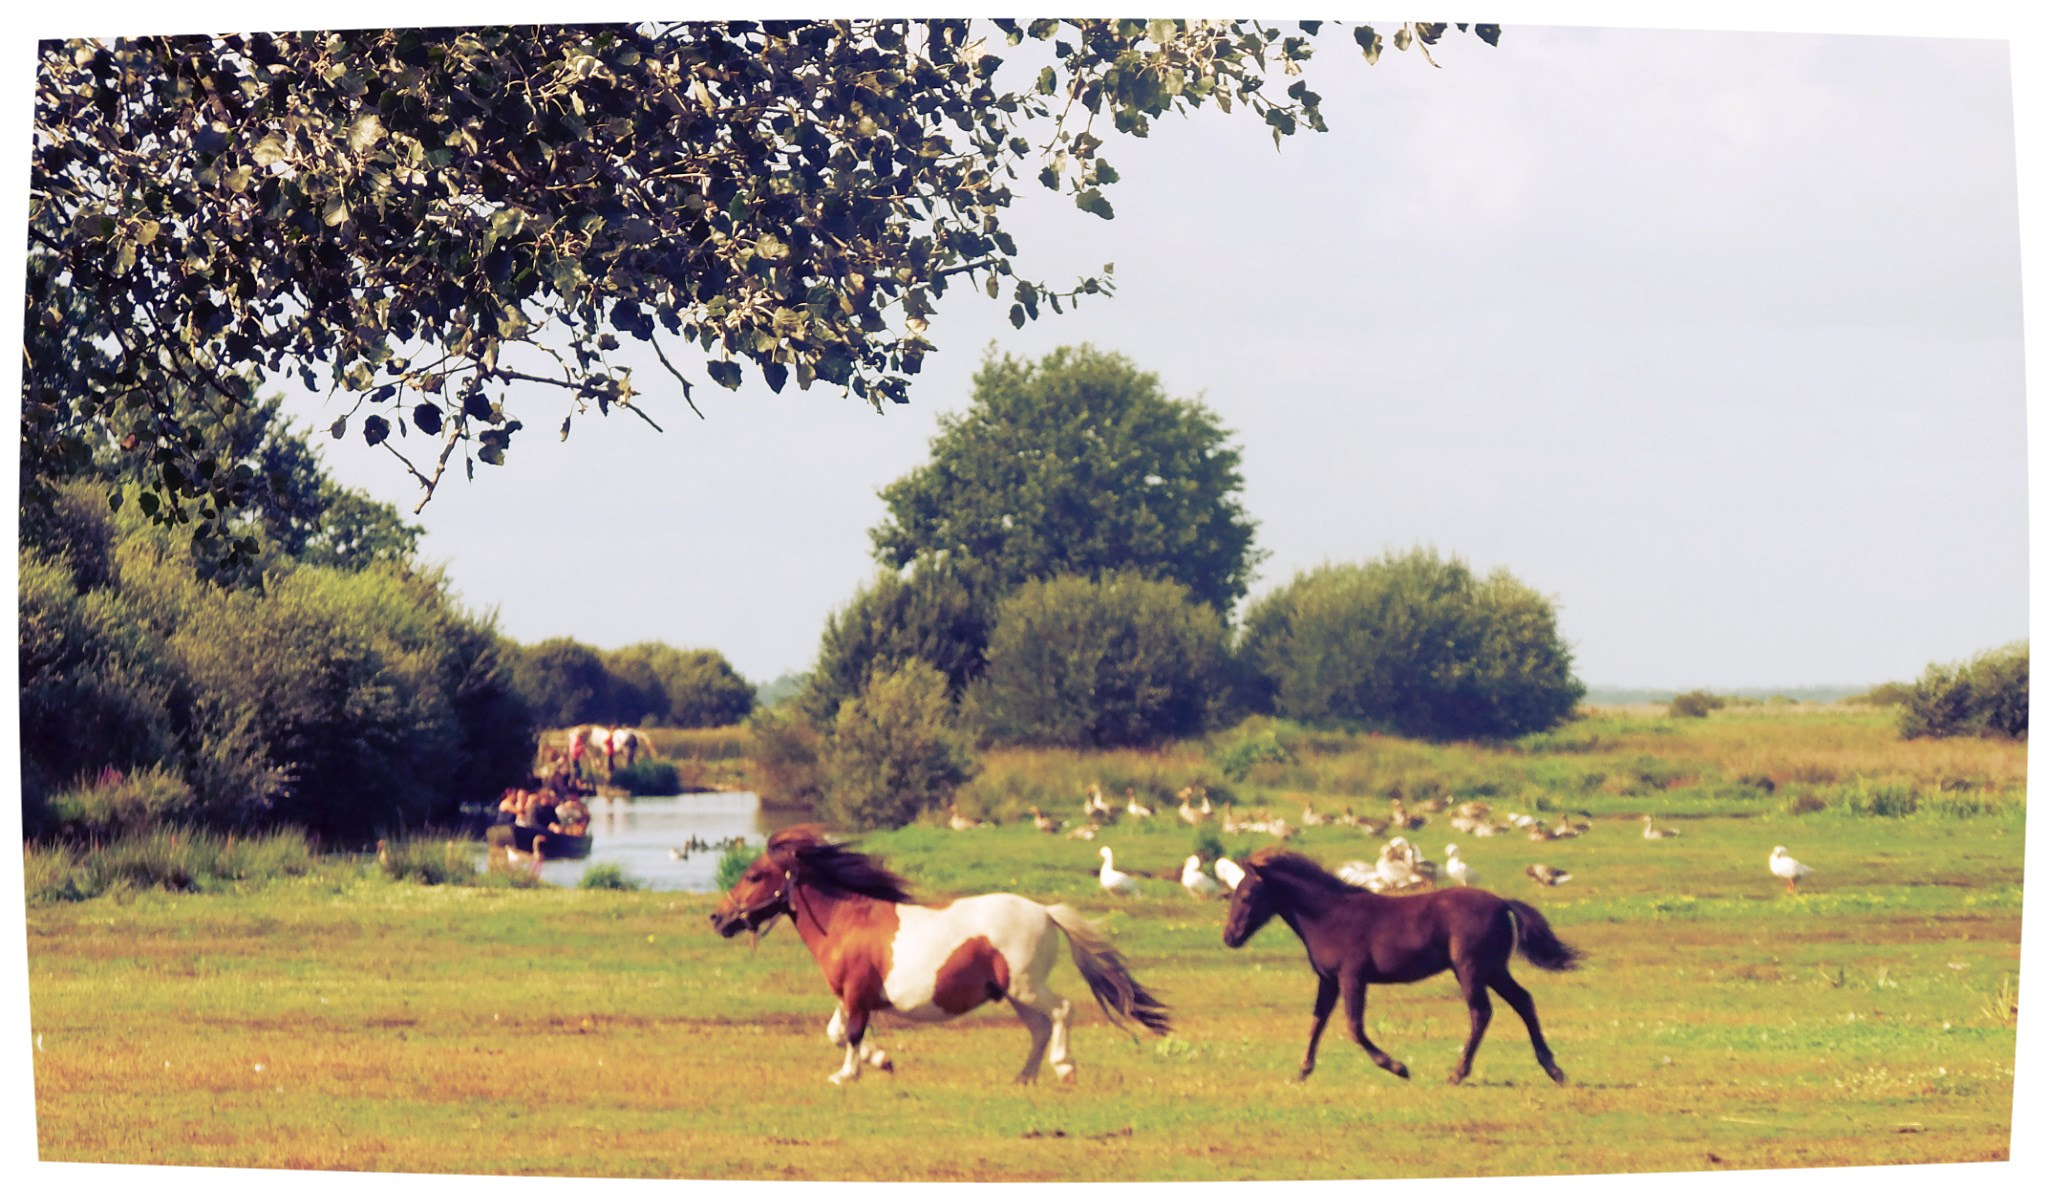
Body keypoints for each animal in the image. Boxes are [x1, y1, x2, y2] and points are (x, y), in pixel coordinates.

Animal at [708, 823, 1171, 1082]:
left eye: (755, 875)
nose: (718, 918)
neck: (846, 921)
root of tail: (1045, 911)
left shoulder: (856, 995)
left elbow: (851, 1035)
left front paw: (846, 1074)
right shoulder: (851, 996)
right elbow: (837, 1032)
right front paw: (882, 1061)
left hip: (1026, 985)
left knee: (1062, 1012)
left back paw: (1064, 1067)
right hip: (1014, 993)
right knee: (1040, 1028)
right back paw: (1023, 1077)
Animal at [1212, 840, 1581, 1082]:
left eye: (1248, 894)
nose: (1230, 937)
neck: (1328, 915)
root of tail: (1503, 902)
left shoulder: (1352, 977)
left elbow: (1354, 1027)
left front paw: (1398, 1067)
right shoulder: (1328, 980)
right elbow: (1317, 1022)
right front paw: (1302, 1071)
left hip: (1471, 969)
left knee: (1482, 1012)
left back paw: (1458, 1073)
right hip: (1493, 969)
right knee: (1523, 1001)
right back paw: (1553, 1068)